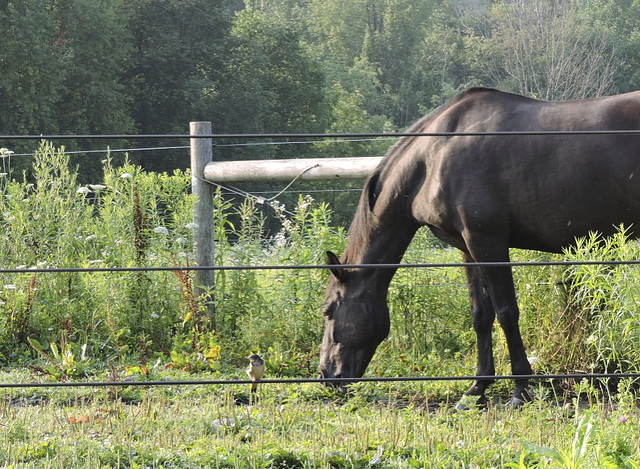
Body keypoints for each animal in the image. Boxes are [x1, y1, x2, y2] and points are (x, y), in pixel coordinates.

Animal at [320, 88, 640, 406]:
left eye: (327, 310)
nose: (326, 375)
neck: (434, 157)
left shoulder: (487, 241)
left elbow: (506, 312)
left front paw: (520, 390)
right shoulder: (467, 246)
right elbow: (481, 314)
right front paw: (477, 387)